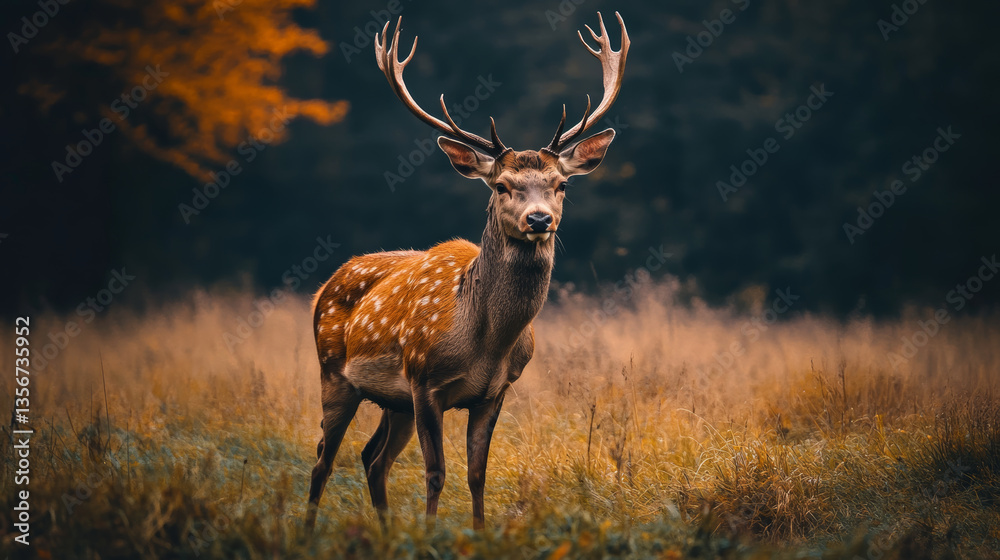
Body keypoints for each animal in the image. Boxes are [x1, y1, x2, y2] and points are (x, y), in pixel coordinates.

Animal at [305, 12, 629, 531]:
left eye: (560, 184)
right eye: (501, 185)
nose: (540, 219)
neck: (483, 341)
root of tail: (326, 285)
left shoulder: (495, 391)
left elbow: (477, 473)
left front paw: (477, 534)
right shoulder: (424, 382)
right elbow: (436, 472)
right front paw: (430, 533)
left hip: (392, 401)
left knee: (372, 459)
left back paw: (385, 533)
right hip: (334, 372)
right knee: (323, 458)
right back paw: (308, 531)